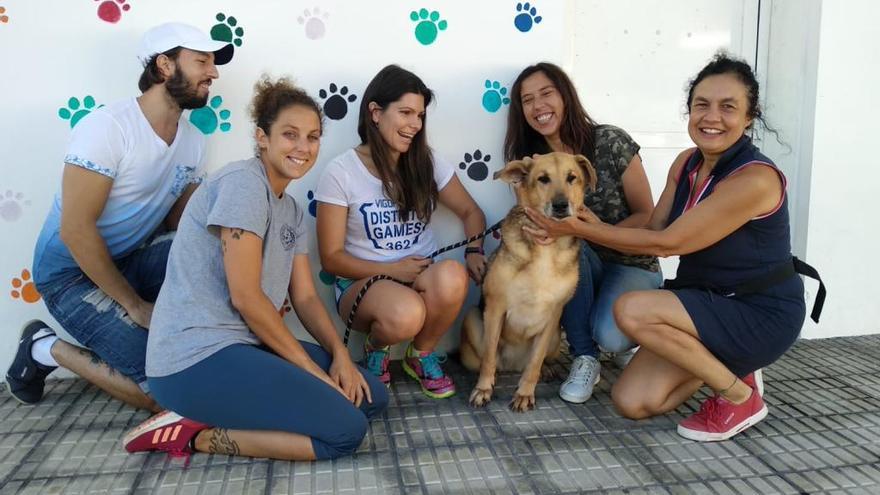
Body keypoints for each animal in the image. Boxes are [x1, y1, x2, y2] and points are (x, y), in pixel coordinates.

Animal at [460, 152, 600, 414]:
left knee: (536, 361)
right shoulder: (495, 307)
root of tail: (513, 365)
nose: (560, 205)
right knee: (489, 360)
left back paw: (546, 369)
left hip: (555, 335)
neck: (547, 247)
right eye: (543, 179)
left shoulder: (553, 315)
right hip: (473, 320)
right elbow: (489, 359)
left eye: (572, 178)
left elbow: (534, 363)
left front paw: (525, 393)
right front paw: (483, 390)